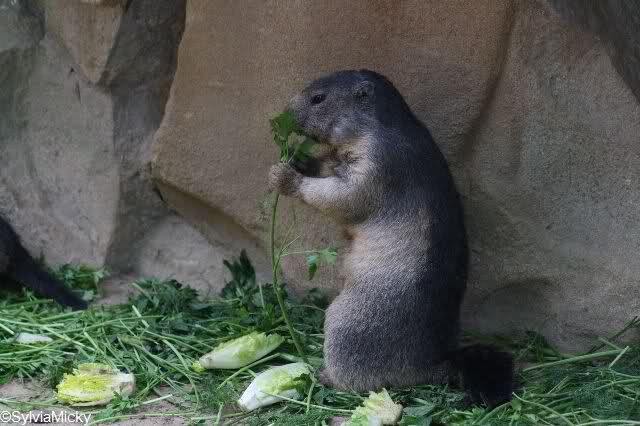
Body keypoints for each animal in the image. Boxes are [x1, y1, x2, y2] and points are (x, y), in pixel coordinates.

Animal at [269, 69, 513, 406]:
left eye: (318, 98)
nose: (284, 113)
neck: (378, 125)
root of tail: (432, 364)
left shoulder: (379, 162)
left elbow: (348, 195)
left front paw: (286, 176)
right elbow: (330, 166)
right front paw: (299, 158)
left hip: (351, 320)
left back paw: (326, 376)